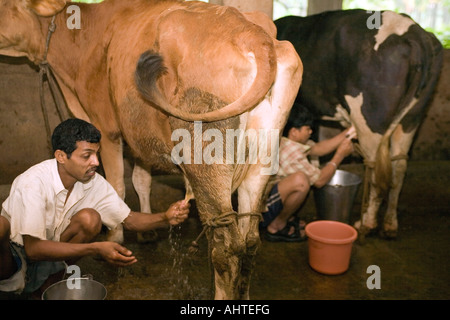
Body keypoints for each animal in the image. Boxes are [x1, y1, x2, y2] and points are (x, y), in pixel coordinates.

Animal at [0, 0, 302, 300]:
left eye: (7, 6)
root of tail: (252, 31)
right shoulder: (139, 134)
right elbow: (141, 179)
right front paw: (147, 230)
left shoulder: (106, 128)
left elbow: (117, 186)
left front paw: (115, 237)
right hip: (261, 161)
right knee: (250, 242)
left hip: (207, 157)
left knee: (226, 249)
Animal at [274, 8, 442, 239]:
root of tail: (415, 32)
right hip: (412, 118)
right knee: (399, 166)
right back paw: (390, 225)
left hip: (371, 119)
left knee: (375, 169)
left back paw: (366, 223)